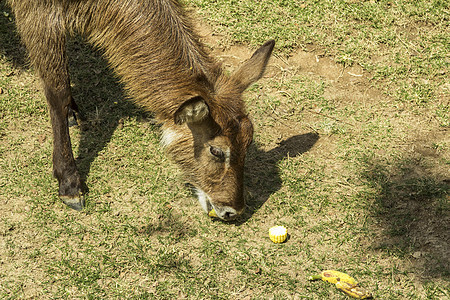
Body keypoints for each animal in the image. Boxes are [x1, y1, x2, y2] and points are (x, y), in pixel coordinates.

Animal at [7, 0, 274, 220]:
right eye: (217, 151)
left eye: (248, 141)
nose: (233, 210)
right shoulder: (37, 12)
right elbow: (57, 93)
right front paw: (69, 184)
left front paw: (73, 112)